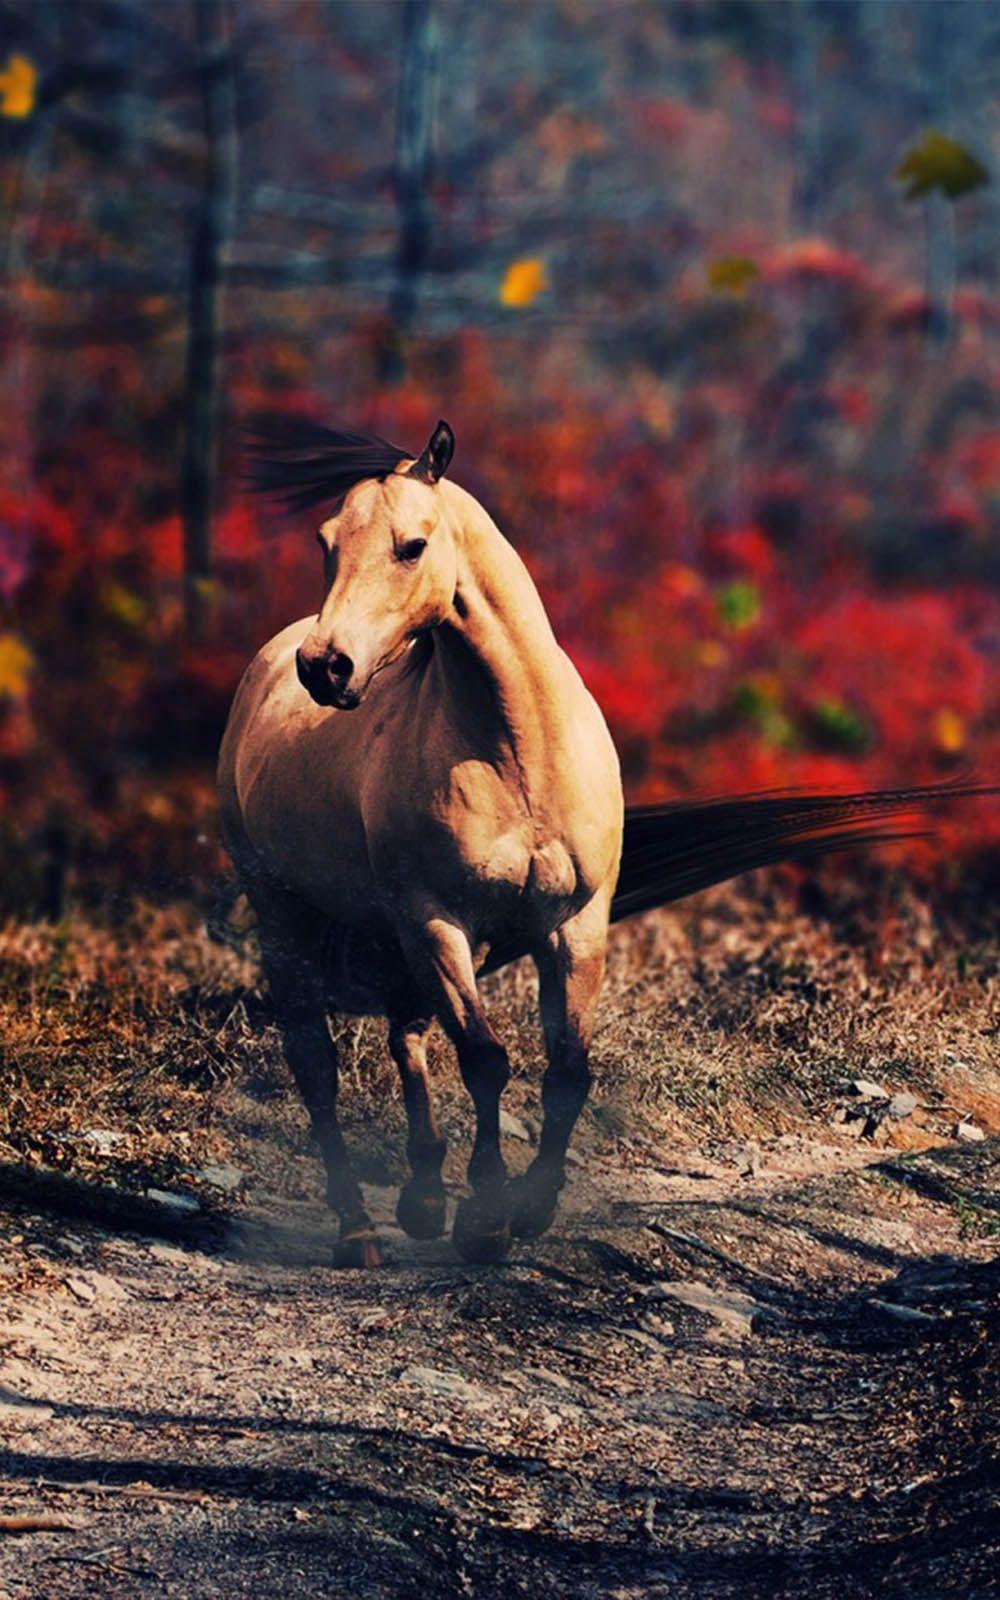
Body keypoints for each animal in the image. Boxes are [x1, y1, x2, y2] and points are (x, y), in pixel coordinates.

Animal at [220, 418, 993, 1268]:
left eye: (412, 545)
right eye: (327, 543)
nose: (326, 668)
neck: (516, 749)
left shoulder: (573, 925)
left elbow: (567, 1069)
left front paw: (528, 1209)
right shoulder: (438, 919)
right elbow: (486, 1059)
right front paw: (485, 1218)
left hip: (400, 933)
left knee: (407, 1034)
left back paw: (421, 1201)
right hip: (290, 911)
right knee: (317, 1061)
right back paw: (359, 1230)